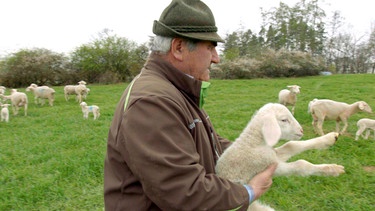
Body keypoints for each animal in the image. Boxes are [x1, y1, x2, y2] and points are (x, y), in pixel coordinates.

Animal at [216, 103, 346, 211]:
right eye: (284, 120)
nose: (301, 130)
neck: (253, 143)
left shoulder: (274, 155)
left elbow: (292, 145)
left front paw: (329, 138)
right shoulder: (264, 165)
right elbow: (300, 164)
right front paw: (333, 169)